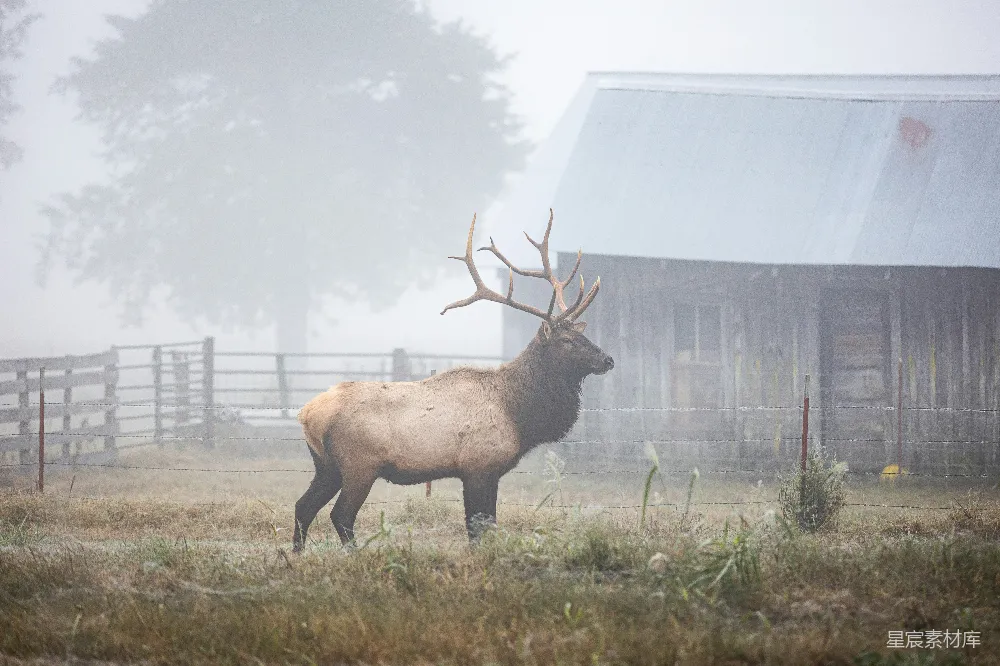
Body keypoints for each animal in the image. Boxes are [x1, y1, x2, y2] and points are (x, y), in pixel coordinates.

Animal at [292, 210, 614, 551]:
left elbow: (484, 525)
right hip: (359, 465)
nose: (608, 359)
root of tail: (308, 414)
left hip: (326, 466)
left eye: (582, 334)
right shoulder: (478, 467)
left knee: (303, 507)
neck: (518, 414)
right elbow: (478, 527)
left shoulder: (485, 472)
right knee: (340, 515)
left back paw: (296, 555)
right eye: (567, 341)